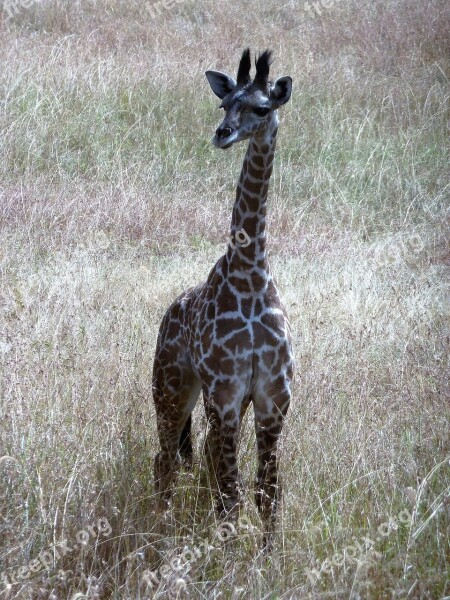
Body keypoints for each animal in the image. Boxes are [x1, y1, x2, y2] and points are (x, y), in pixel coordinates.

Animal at [153, 48, 296, 544]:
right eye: (224, 103)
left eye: (262, 108)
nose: (223, 134)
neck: (250, 278)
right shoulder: (227, 396)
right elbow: (230, 496)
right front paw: (227, 556)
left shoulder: (273, 401)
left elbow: (267, 494)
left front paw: (269, 555)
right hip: (171, 388)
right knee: (166, 462)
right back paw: (158, 534)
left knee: (197, 463)